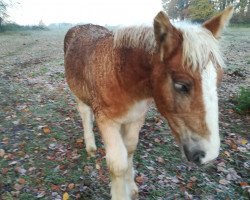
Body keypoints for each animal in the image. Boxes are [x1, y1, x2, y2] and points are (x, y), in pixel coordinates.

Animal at [64, 6, 234, 200]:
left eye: (218, 81)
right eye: (181, 85)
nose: (210, 154)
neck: (120, 76)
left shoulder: (136, 118)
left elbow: (130, 150)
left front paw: (131, 187)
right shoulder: (106, 121)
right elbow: (118, 164)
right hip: (79, 94)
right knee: (85, 113)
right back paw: (91, 146)